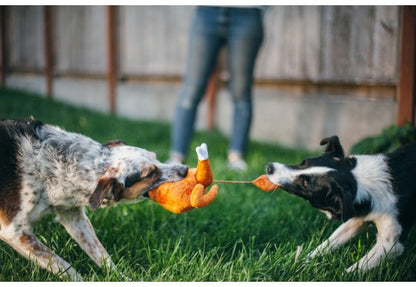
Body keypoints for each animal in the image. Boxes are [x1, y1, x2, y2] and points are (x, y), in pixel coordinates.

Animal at [0, 118, 188, 282]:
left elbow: (100, 253)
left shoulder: (74, 216)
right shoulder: (15, 231)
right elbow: (62, 265)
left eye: (155, 157)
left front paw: (120, 278)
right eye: (150, 174)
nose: (185, 169)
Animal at [266, 136, 416, 274]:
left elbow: (351, 272)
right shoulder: (356, 219)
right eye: (303, 162)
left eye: (306, 183)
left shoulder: (390, 244)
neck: (360, 182)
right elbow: (326, 244)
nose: (269, 167)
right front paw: (297, 264)